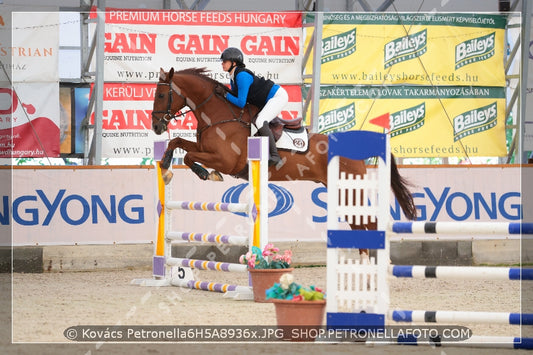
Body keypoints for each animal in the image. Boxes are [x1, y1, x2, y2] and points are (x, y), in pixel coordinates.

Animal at [151, 67, 420, 262]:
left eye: (162, 95)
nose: (156, 126)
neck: (218, 114)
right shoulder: (205, 149)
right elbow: (178, 142)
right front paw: (166, 166)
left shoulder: (225, 160)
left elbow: (189, 156)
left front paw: (204, 173)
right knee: (359, 223)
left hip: (350, 190)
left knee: (368, 222)